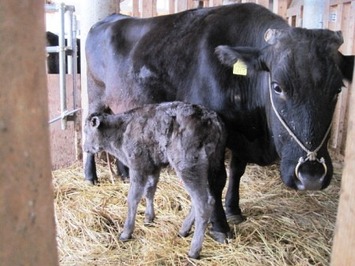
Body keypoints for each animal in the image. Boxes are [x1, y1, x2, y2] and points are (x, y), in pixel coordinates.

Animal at [84, 101, 228, 258]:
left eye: (86, 131)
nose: (85, 148)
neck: (121, 129)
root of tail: (211, 119)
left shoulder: (138, 166)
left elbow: (133, 198)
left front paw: (126, 233)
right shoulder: (153, 166)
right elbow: (150, 190)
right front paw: (149, 218)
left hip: (189, 167)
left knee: (203, 203)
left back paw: (193, 251)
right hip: (211, 167)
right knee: (208, 197)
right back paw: (183, 230)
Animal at [85, 2, 354, 239]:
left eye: (338, 90)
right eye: (278, 87)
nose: (311, 175)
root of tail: (111, 18)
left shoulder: (242, 135)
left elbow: (236, 172)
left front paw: (234, 210)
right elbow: (215, 179)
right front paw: (220, 227)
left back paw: (124, 174)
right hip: (95, 95)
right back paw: (90, 176)